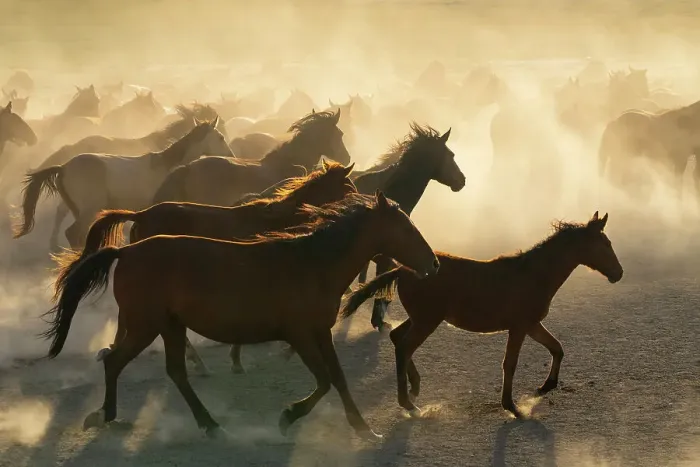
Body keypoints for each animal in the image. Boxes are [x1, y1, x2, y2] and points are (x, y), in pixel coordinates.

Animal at [13, 119, 233, 248]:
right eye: (220, 137)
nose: (231, 155)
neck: (167, 168)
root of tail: (64, 167)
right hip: (89, 209)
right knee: (74, 233)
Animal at [43, 191, 440, 438]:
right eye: (406, 227)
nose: (434, 264)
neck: (312, 264)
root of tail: (125, 252)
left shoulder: (320, 332)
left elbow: (339, 379)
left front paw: (363, 428)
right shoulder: (299, 334)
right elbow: (325, 381)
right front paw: (288, 416)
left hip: (169, 326)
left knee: (173, 371)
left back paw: (207, 424)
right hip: (146, 325)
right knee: (115, 361)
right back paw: (108, 415)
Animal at [341, 212, 623, 419]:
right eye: (605, 244)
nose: (619, 273)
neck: (534, 274)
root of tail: (402, 269)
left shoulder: (532, 324)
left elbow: (557, 348)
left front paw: (545, 387)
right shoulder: (520, 327)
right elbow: (510, 363)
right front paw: (512, 407)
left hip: (421, 318)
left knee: (398, 338)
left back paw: (416, 386)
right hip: (427, 321)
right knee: (404, 347)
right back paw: (408, 403)